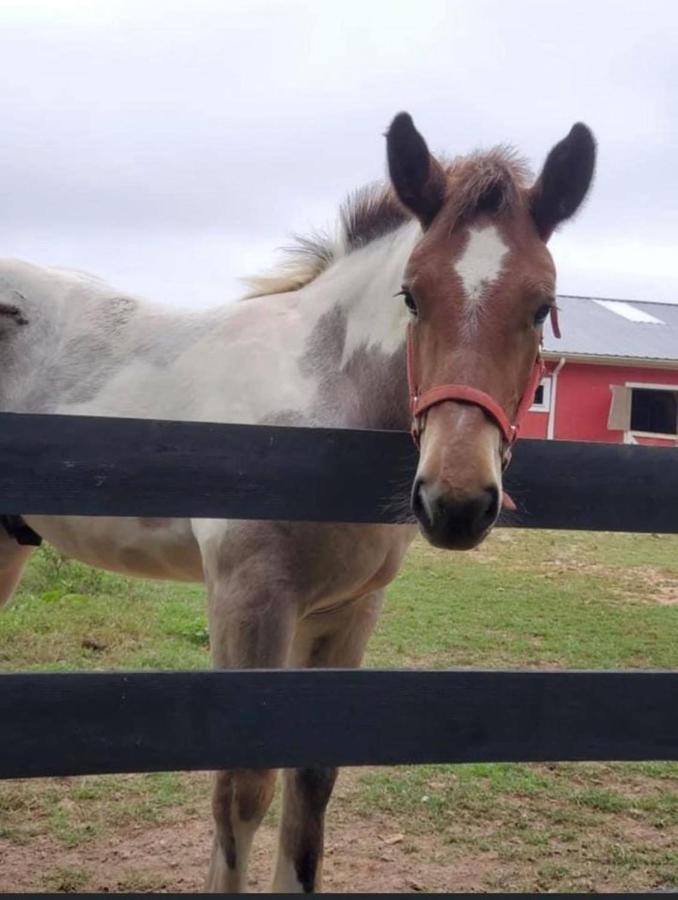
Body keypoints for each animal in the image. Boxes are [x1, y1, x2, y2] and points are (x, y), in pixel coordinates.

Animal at [0, 114, 596, 892]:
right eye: (412, 295)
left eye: (540, 305)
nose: (457, 501)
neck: (321, 401)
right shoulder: (248, 597)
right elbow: (241, 789)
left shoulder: (348, 611)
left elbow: (311, 782)